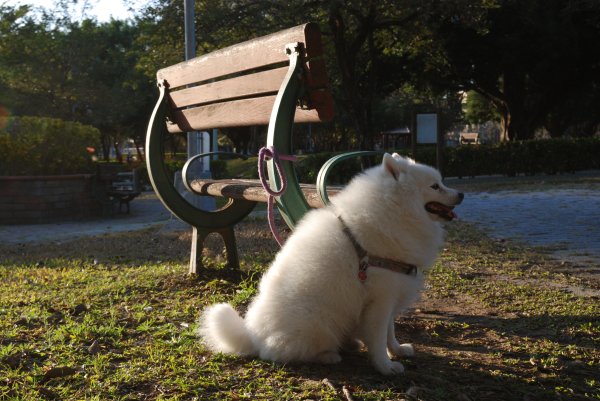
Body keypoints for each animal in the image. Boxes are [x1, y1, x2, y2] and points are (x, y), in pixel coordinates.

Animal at [198, 152, 464, 374]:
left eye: (442, 182)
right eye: (435, 186)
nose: (461, 194)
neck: (394, 210)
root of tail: (252, 335)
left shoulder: (391, 294)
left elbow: (390, 332)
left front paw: (397, 350)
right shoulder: (379, 299)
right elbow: (378, 338)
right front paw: (385, 366)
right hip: (318, 321)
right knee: (281, 353)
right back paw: (328, 355)